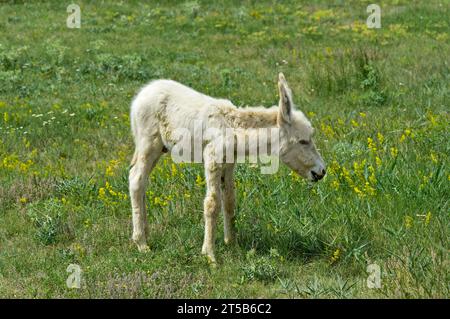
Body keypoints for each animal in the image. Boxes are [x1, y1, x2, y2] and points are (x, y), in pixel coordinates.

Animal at [128, 74, 326, 264]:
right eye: (303, 141)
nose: (322, 172)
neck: (234, 129)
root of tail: (142, 93)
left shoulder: (229, 164)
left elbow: (230, 200)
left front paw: (232, 244)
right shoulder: (212, 159)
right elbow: (212, 203)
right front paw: (209, 255)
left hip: (158, 148)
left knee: (142, 183)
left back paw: (146, 233)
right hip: (149, 143)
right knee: (136, 179)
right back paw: (141, 243)